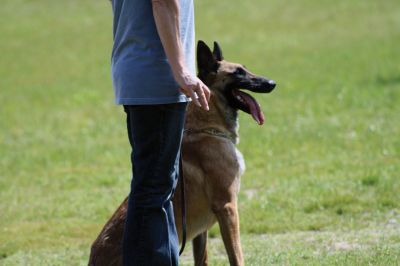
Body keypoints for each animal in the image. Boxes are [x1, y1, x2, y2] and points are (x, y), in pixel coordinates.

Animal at [88, 40, 276, 264]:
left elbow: (202, 259)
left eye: (245, 69)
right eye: (238, 73)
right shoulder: (228, 208)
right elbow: (236, 256)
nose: (272, 83)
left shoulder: (201, 231)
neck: (208, 127)